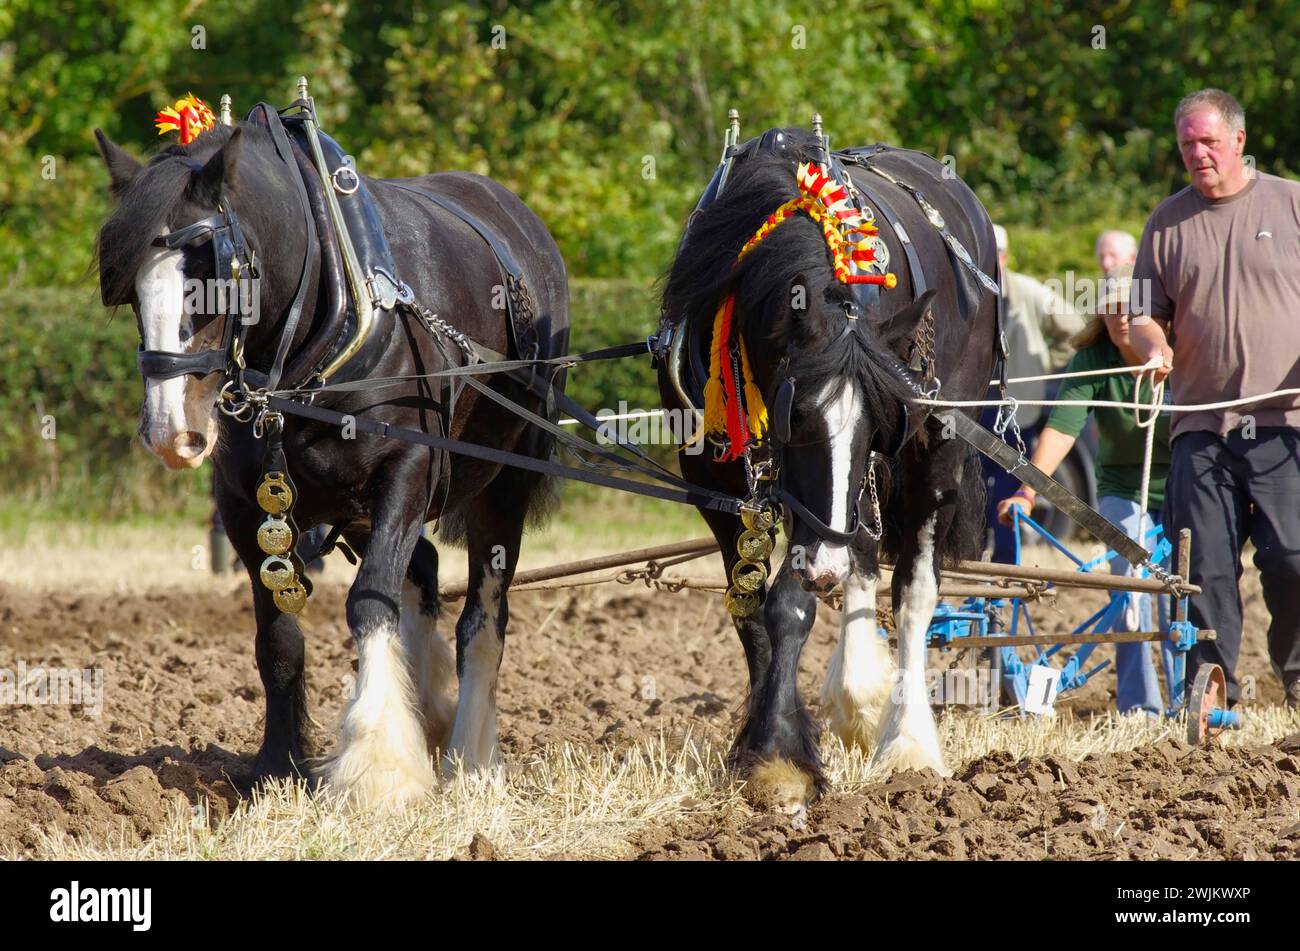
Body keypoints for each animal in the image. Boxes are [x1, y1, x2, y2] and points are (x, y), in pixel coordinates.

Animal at [665, 127, 998, 810]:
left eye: (879, 426)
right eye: (794, 419)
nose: (824, 568)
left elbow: (792, 606)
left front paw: (782, 760)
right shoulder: (713, 482)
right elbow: (750, 609)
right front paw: (765, 749)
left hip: (939, 444)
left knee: (912, 587)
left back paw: (907, 742)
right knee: (863, 558)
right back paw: (859, 699)